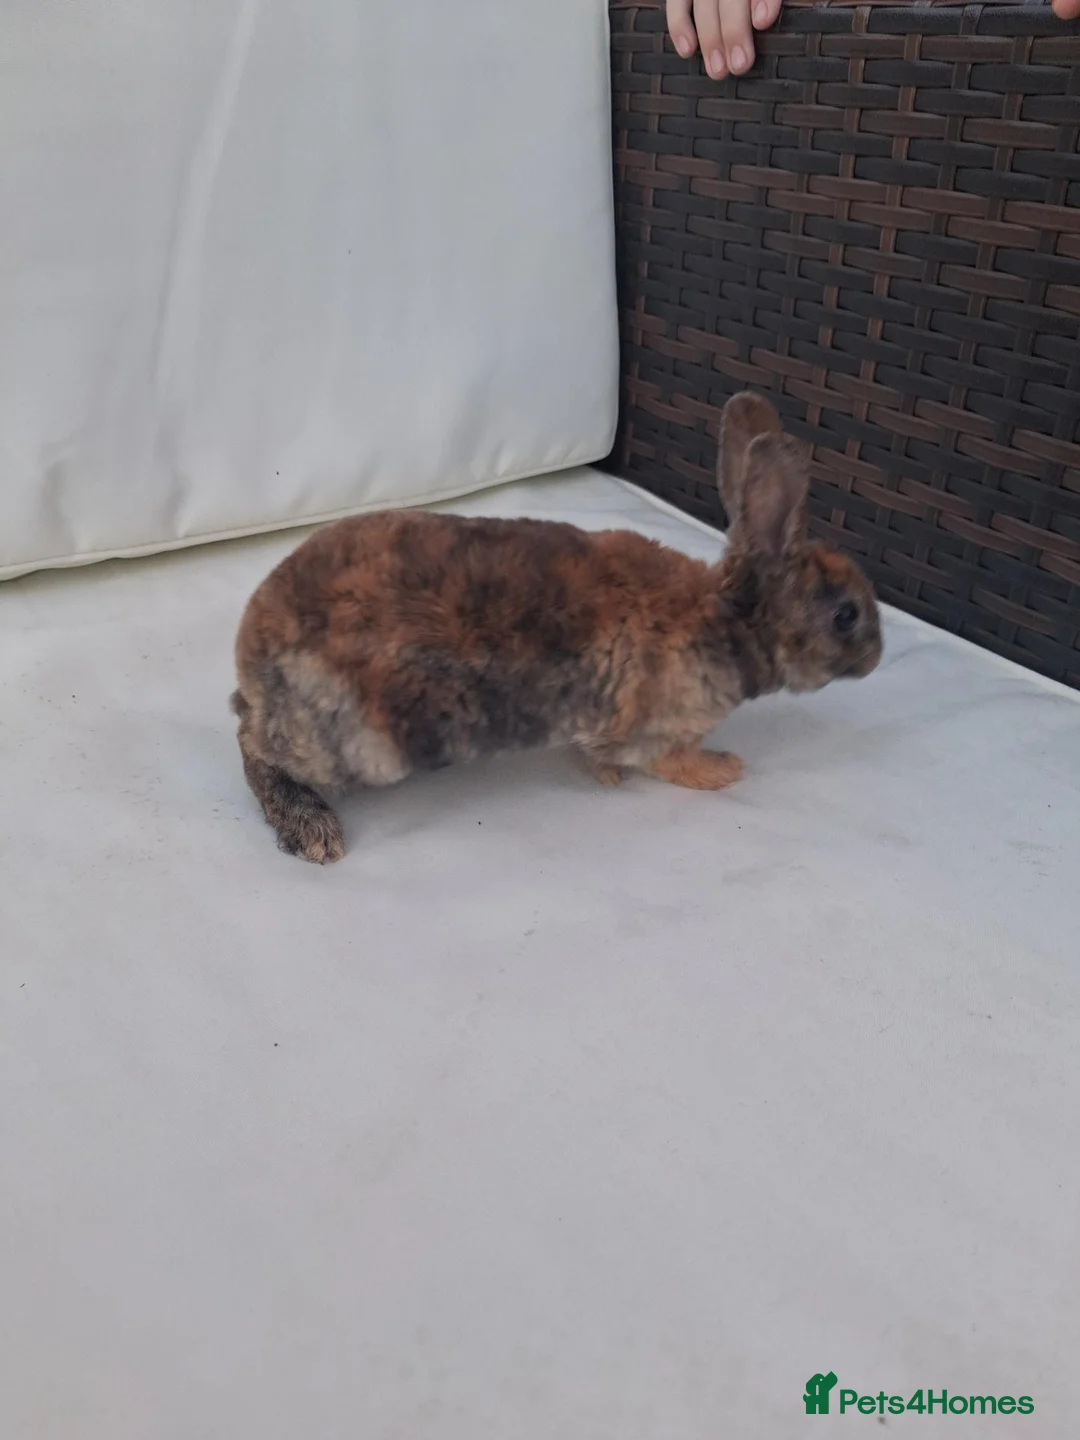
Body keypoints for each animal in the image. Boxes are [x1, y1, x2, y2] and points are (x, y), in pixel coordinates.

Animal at [231, 391, 882, 862]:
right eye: (846, 614)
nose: (878, 655)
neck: (726, 617)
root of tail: (249, 651)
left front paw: (611, 775)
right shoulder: (658, 729)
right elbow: (668, 763)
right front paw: (723, 770)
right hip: (356, 743)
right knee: (250, 742)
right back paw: (312, 829)